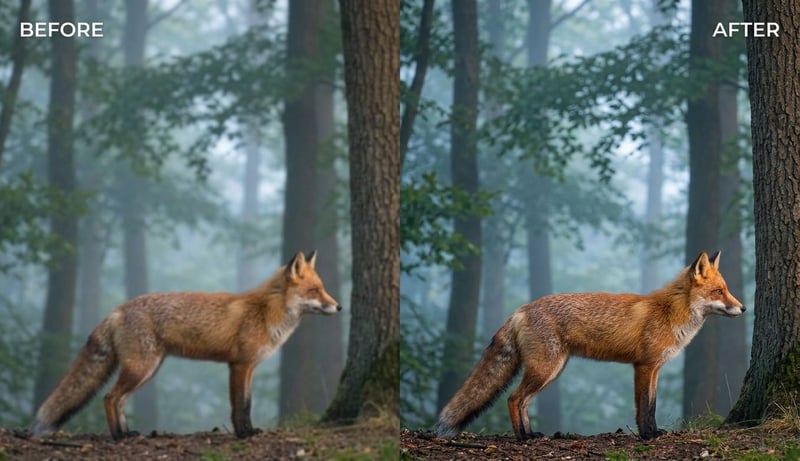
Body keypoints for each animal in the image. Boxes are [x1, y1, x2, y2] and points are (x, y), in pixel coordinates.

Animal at [32, 251, 340, 440]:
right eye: (315, 291)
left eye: (323, 288)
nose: (338, 306)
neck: (266, 312)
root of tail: (118, 309)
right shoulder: (238, 365)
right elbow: (239, 406)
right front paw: (242, 434)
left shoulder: (249, 367)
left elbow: (248, 404)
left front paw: (251, 431)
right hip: (141, 368)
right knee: (109, 397)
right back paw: (118, 436)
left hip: (148, 370)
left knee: (119, 399)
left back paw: (128, 432)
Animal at [435, 251, 745, 441]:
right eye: (719, 292)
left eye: (726, 289)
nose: (743, 308)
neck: (671, 312)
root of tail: (521, 309)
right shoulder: (643, 366)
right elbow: (644, 406)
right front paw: (646, 435)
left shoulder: (655, 368)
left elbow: (653, 405)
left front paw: (655, 432)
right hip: (545, 369)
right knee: (513, 399)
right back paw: (522, 438)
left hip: (551, 371)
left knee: (522, 401)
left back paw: (531, 434)